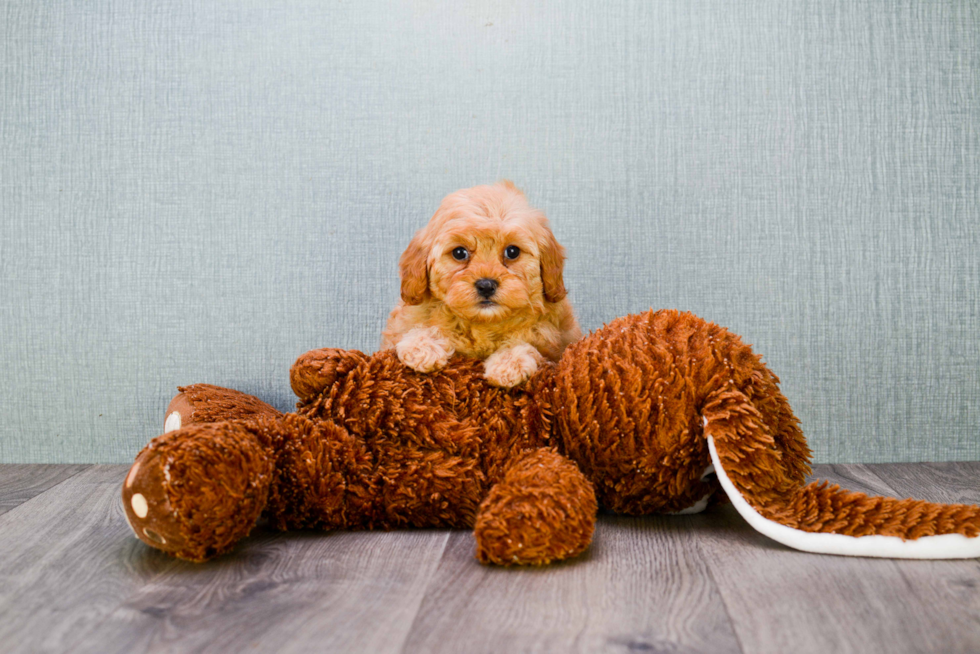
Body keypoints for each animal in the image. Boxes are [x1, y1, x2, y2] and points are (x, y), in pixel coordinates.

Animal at [380, 182, 580, 390]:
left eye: (512, 251)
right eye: (459, 253)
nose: (486, 285)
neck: (483, 323)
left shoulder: (552, 348)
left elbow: (527, 345)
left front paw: (509, 364)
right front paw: (422, 347)